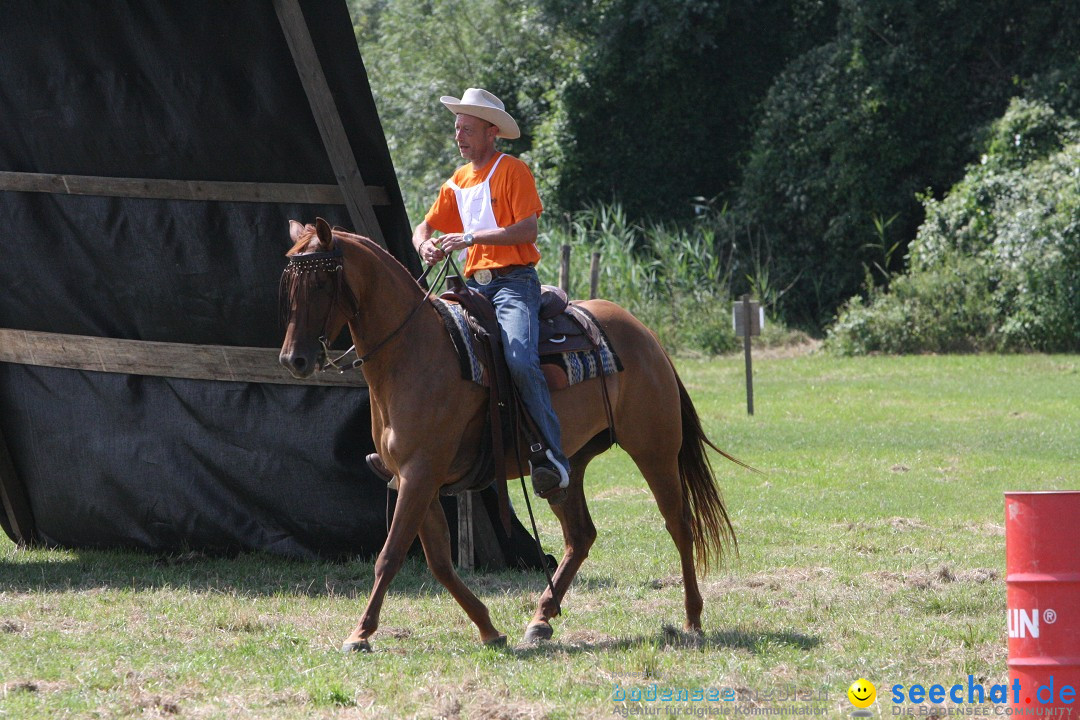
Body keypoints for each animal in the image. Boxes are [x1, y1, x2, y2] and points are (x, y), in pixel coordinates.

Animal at [276, 216, 743, 651]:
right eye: (289, 285)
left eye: (321, 281)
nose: (293, 360)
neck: (413, 352)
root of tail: (645, 334)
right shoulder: (413, 478)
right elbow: (439, 562)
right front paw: (488, 628)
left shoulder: (420, 474)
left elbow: (390, 555)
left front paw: (360, 633)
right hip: (568, 466)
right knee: (580, 536)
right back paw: (541, 619)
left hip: (654, 450)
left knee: (679, 524)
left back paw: (692, 618)